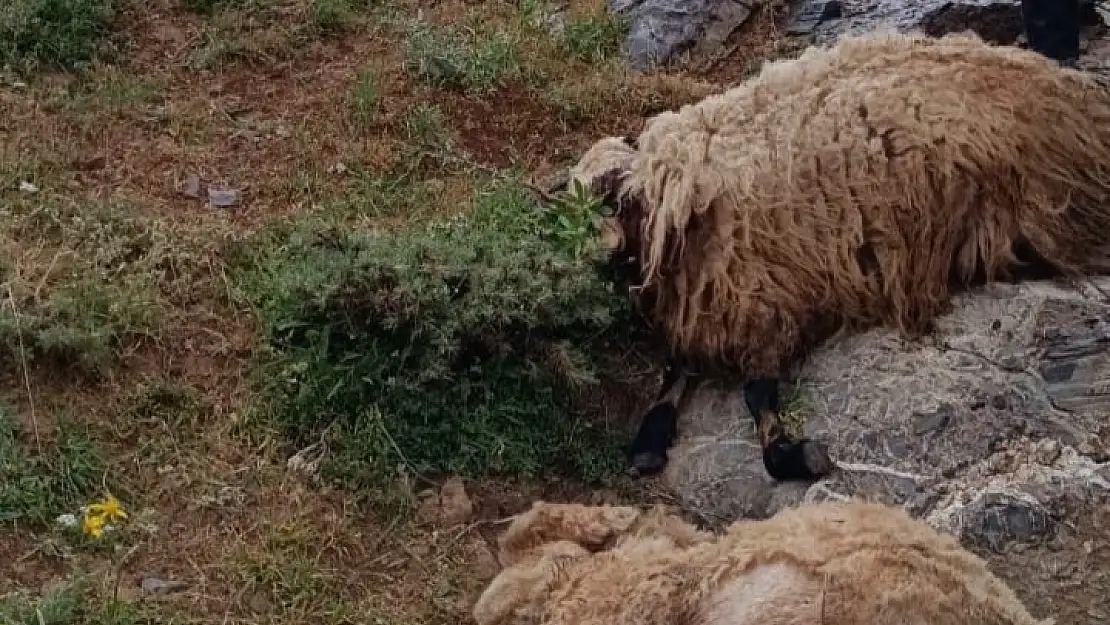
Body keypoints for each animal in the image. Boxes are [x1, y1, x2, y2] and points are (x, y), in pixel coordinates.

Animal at [563, 28, 1110, 479]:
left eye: (598, 206)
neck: (667, 205)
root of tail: (1073, 88)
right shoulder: (709, 305)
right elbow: (674, 372)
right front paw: (649, 441)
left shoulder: (764, 301)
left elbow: (756, 397)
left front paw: (795, 456)